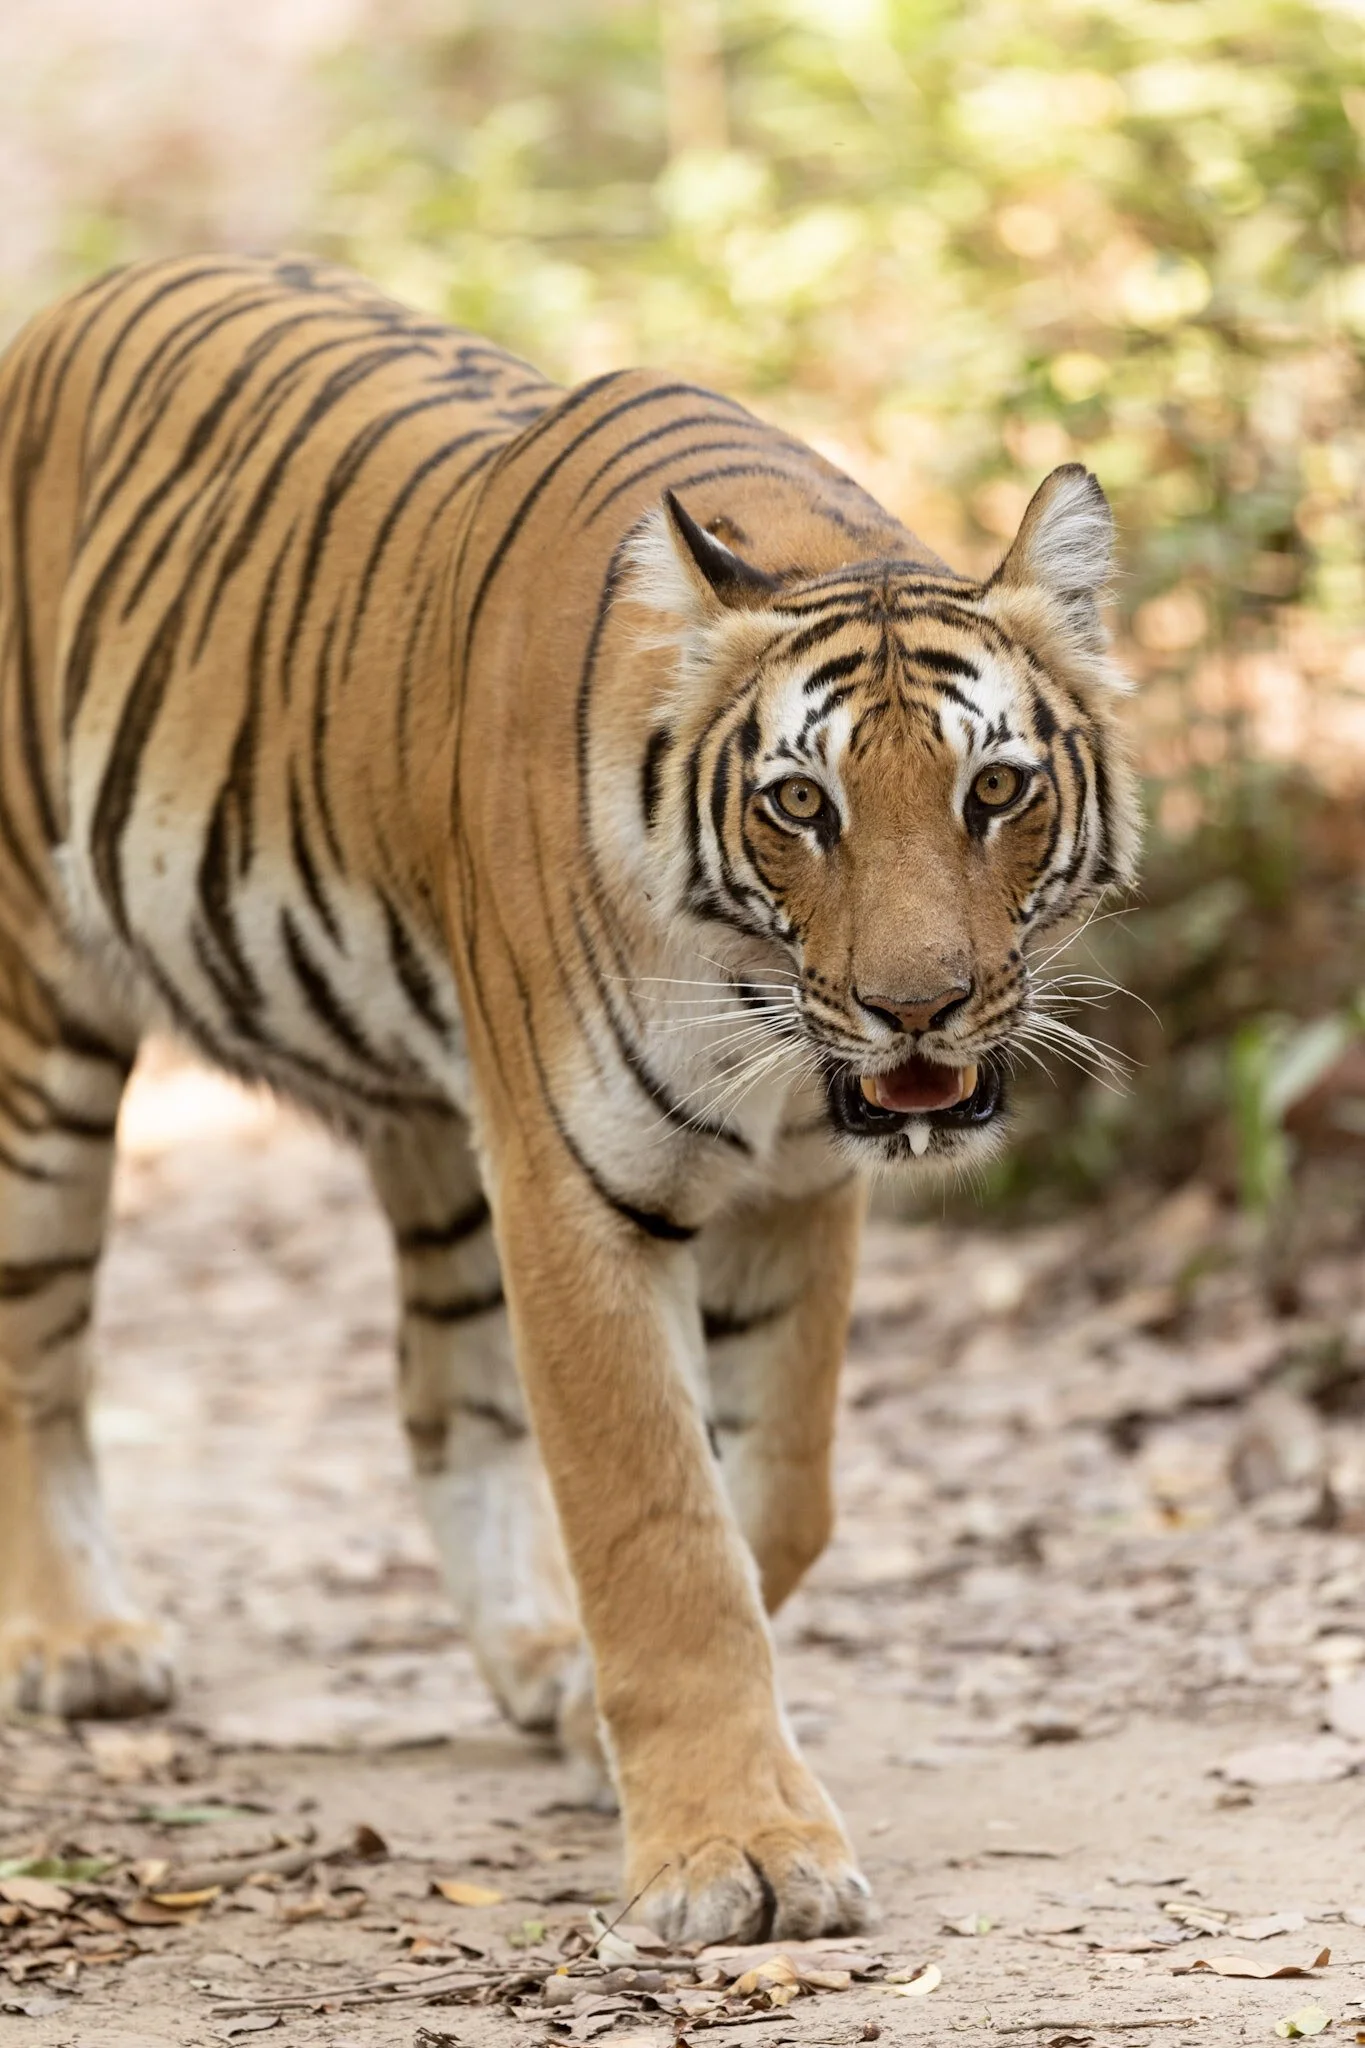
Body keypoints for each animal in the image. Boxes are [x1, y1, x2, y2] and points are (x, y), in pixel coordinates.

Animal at [0, 254, 1138, 1943]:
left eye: (995, 790)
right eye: (799, 804)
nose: (915, 1007)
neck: (760, 1018)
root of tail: (86, 293)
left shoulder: (795, 1190)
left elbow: (773, 1499)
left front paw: (624, 1743)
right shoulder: (578, 1191)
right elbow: (659, 1525)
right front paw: (734, 1854)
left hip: (438, 1112)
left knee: (443, 1393)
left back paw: (535, 1659)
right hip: (45, 1025)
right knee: (37, 1350)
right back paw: (80, 1644)